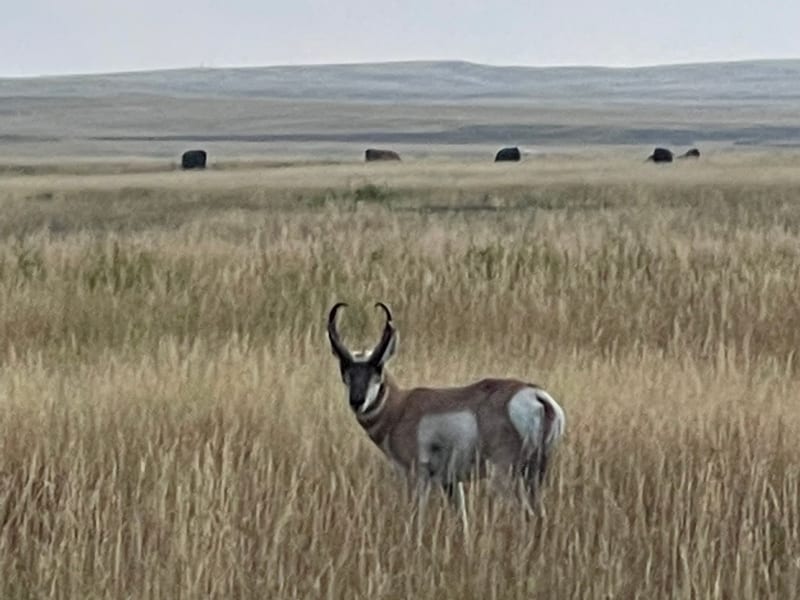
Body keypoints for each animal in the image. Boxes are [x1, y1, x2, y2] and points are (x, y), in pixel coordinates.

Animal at [327, 302, 566, 530]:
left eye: (378, 367)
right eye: (344, 368)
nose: (357, 401)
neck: (400, 408)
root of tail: (535, 395)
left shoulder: (417, 478)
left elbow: (416, 521)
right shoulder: (450, 483)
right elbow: (463, 521)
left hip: (504, 476)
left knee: (527, 514)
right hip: (533, 475)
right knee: (541, 515)